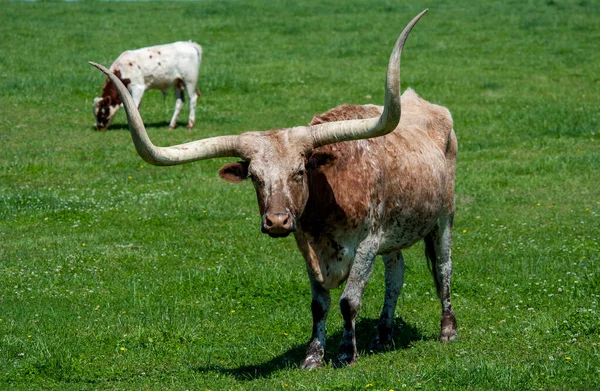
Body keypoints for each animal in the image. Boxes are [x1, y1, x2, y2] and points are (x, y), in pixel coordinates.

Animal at [89, 9, 458, 370]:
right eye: (254, 176)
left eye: (299, 172)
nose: (277, 222)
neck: (326, 210)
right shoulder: (307, 246)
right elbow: (319, 304)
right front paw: (312, 356)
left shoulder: (366, 244)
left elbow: (348, 301)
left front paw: (345, 354)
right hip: (394, 232)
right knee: (396, 273)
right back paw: (383, 335)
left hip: (444, 218)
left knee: (443, 268)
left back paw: (447, 331)